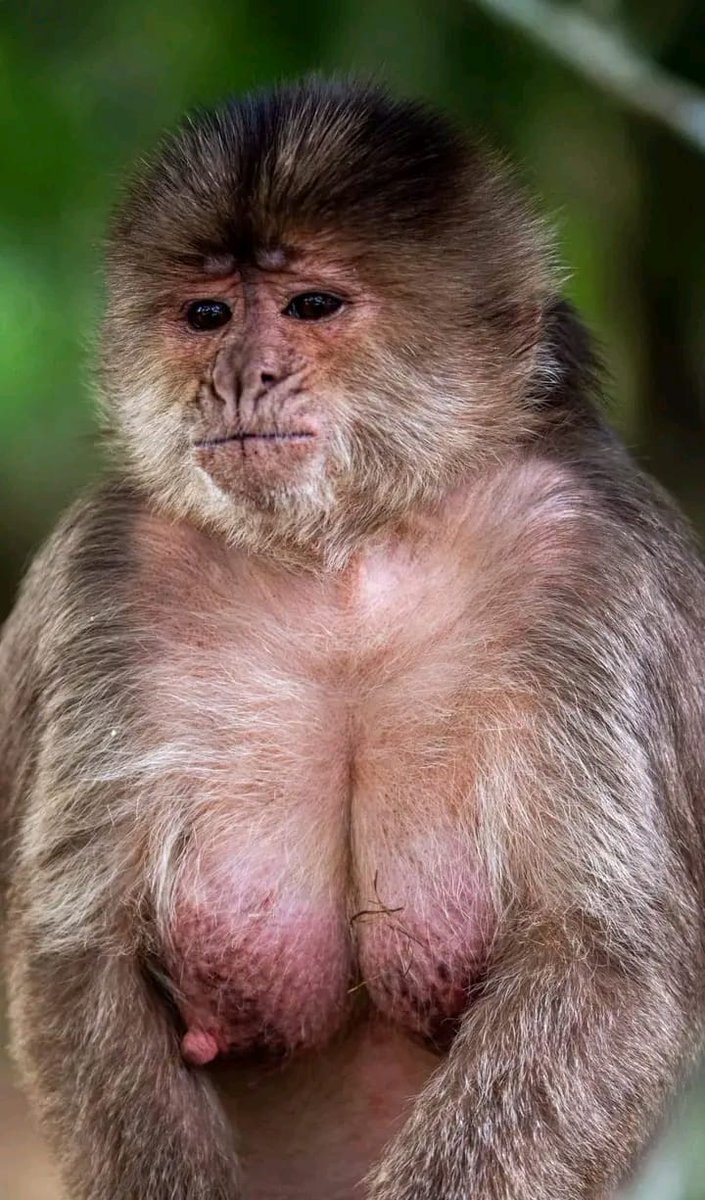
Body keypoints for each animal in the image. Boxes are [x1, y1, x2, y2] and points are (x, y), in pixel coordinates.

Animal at [1, 76, 705, 1200]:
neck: (346, 556)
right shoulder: (104, 573)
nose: (238, 377)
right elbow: (77, 953)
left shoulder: (599, 567)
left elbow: (603, 960)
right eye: (207, 315)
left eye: (310, 307)